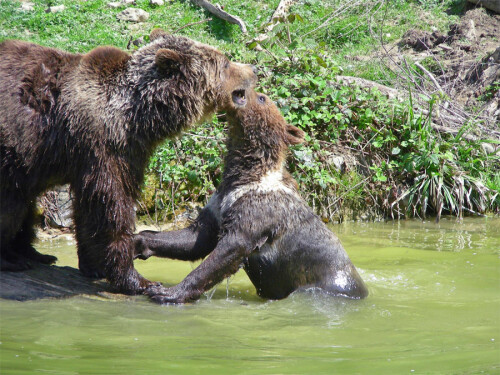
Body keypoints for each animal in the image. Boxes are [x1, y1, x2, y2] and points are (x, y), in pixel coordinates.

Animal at [0, 28, 256, 296]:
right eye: (225, 62)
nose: (253, 69)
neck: (137, 118)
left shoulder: (124, 153)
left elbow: (88, 208)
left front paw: (93, 265)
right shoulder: (102, 148)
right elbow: (110, 207)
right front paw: (137, 279)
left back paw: (35, 254)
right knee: (12, 205)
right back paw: (12, 259)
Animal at [133, 92, 368, 306]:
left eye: (262, 97)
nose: (242, 90)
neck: (247, 174)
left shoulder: (258, 211)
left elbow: (230, 248)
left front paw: (169, 292)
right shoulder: (219, 205)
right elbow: (195, 239)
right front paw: (138, 241)